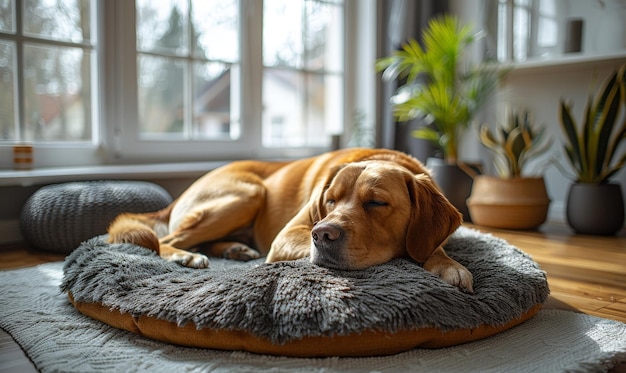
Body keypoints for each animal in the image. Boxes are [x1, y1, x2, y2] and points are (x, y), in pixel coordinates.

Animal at [107, 147, 470, 292]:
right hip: (249, 193)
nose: (322, 234)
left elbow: (432, 245)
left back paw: (236, 249)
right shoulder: (289, 234)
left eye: (376, 202)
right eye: (330, 200)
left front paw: (447, 264)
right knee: (165, 240)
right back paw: (185, 255)